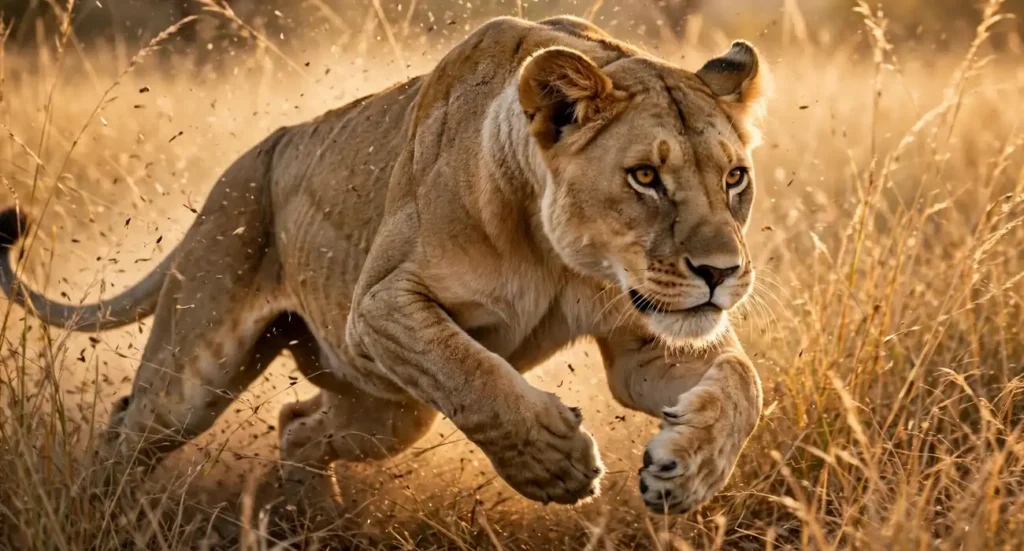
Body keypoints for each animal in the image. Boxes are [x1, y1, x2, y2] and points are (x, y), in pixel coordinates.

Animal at [0, 15, 766, 514]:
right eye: (645, 177)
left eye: (734, 177)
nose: (721, 272)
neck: (561, 258)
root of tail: (248, 161)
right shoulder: (378, 307)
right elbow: (474, 374)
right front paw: (556, 463)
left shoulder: (645, 343)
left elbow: (742, 383)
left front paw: (685, 472)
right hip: (195, 371)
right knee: (130, 430)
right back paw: (96, 516)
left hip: (390, 409)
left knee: (297, 425)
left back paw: (317, 522)